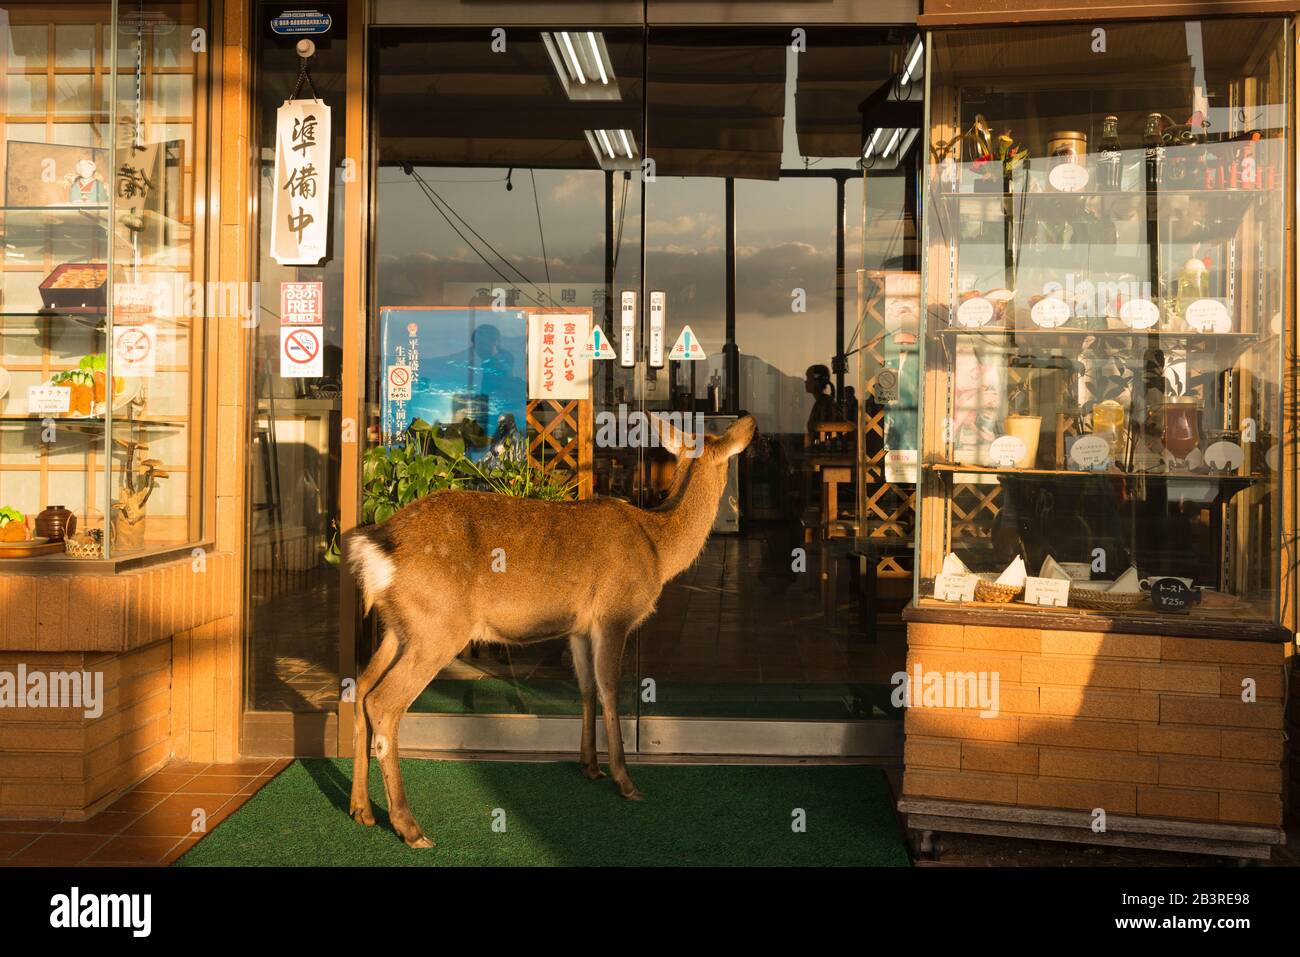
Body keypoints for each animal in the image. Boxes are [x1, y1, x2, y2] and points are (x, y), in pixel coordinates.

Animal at [345, 410, 759, 842]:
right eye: (731, 460)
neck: (658, 549)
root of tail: (375, 548)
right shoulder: (615, 613)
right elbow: (610, 688)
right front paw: (624, 779)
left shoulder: (578, 627)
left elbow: (586, 687)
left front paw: (589, 765)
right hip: (437, 626)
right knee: (384, 702)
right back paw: (408, 826)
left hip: (400, 627)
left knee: (361, 688)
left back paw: (361, 809)